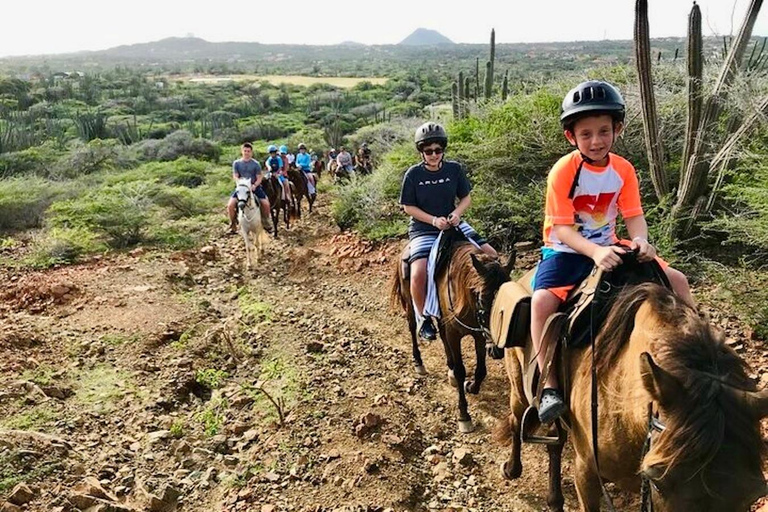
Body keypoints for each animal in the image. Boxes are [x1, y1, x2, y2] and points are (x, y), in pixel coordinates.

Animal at [390, 243, 510, 432]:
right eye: (483, 299)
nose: (497, 349)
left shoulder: (479, 334)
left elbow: (481, 370)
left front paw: (471, 386)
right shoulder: (456, 335)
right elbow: (461, 371)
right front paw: (464, 416)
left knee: (442, 333)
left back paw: (450, 367)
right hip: (410, 304)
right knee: (413, 328)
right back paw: (419, 362)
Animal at [496, 282, 764, 512]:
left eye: (755, 494)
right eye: (658, 481)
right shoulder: (586, 472)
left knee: (555, 443)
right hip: (519, 388)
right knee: (516, 421)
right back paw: (512, 468)